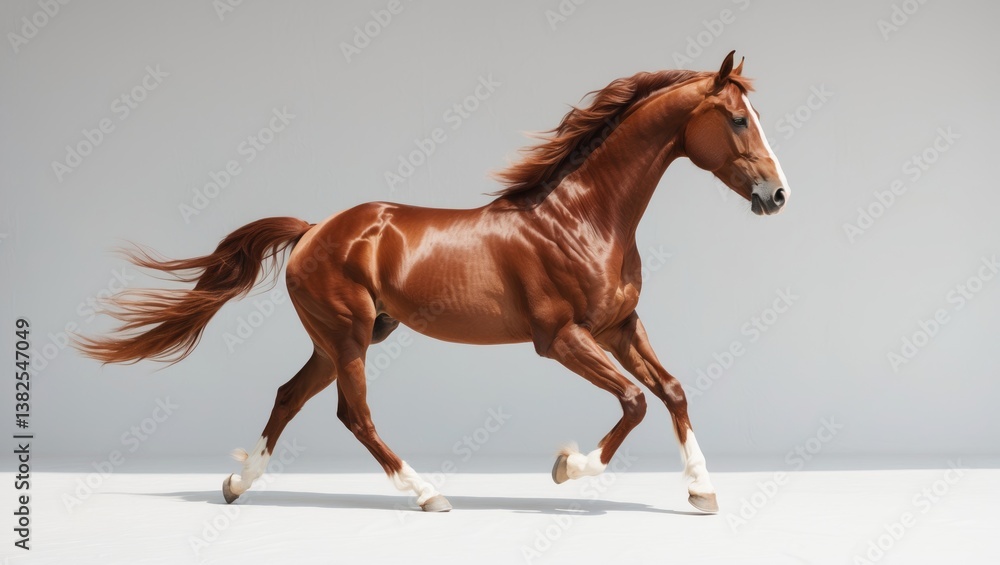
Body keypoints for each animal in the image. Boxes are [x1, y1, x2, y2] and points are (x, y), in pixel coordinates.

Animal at [75, 51, 789, 513]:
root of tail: (312, 230)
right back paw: (427, 494)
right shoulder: (560, 337)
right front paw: (567, 468)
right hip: (350, 335)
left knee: (288, 397)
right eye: (738, 119)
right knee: (353, 414)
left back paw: (237, 485)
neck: (583, 218)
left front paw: (702, 491)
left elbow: (672, 391)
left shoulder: (619, 326)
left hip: (342, 338)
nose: (778, 195)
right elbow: (635, 401)